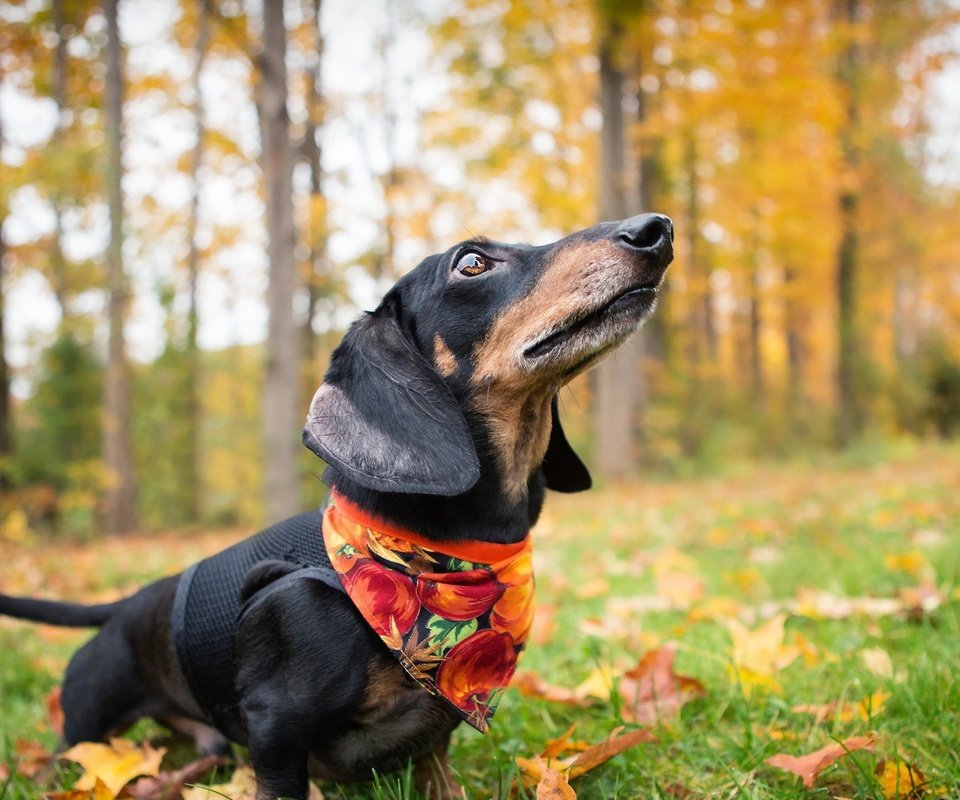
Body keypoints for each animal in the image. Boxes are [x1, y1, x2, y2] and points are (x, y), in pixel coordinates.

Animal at [0, 214, 676, 800]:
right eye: (472, 263)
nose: (656, 229)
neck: (437, 555)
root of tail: (127, 605)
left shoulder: (434, 743)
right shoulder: (275, 731)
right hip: (87, 725)